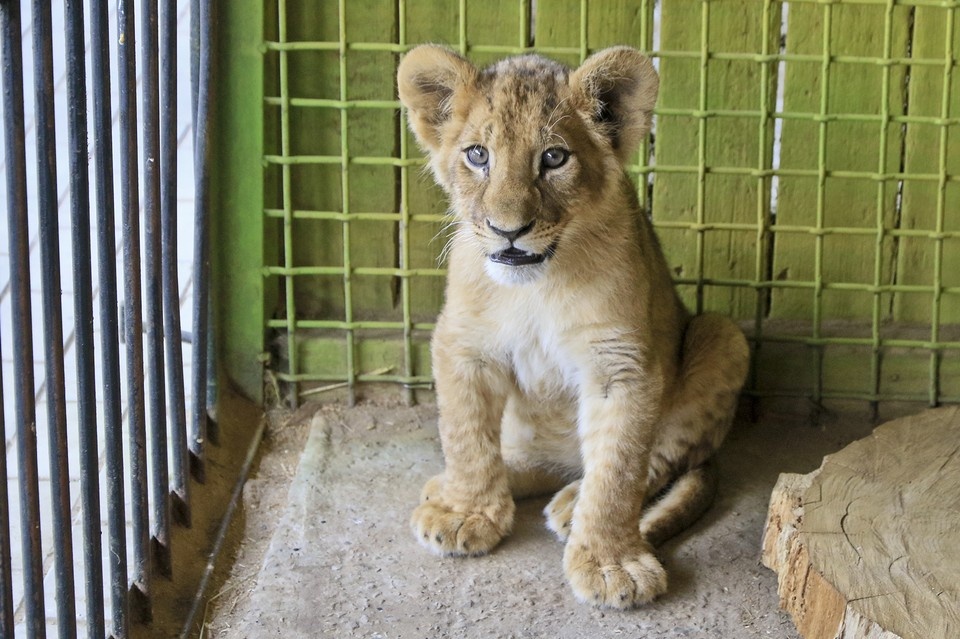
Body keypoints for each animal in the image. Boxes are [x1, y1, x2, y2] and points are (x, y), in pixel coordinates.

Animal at [397, 44, 750, 608]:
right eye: (478, 155)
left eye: (554, 159)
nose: (508, 230)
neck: (535, 287)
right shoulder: (463, 344)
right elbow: (466, 435)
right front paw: (466, 512)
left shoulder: (621, 363)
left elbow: (619, 469)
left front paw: (611, 563)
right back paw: (456, 485)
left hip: (723, 334)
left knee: (660, 457)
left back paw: (570, 502)